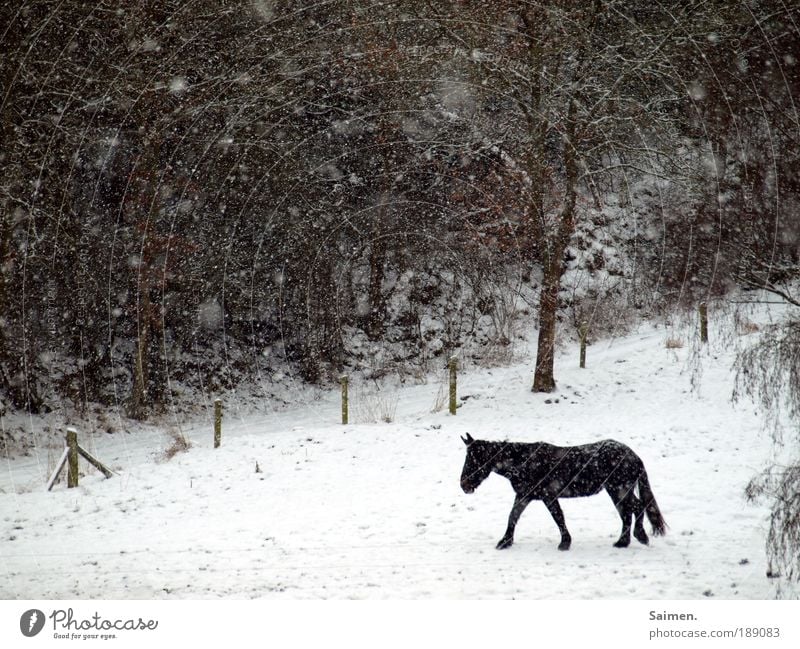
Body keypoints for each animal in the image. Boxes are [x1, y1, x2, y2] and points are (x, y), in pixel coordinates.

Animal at [460, 432, 664, 548]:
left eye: (473, 459)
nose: (463, 485)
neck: (524, 462)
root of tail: (634, 456)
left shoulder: (548, 496)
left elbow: (558, 517)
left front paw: (565, 543)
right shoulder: (524, 496)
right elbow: (513, 516)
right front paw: (505, 542)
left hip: (619, 489)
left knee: (636, 508)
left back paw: (640, 536)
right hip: (617, 491)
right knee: (627, 513)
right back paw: (623, 542)